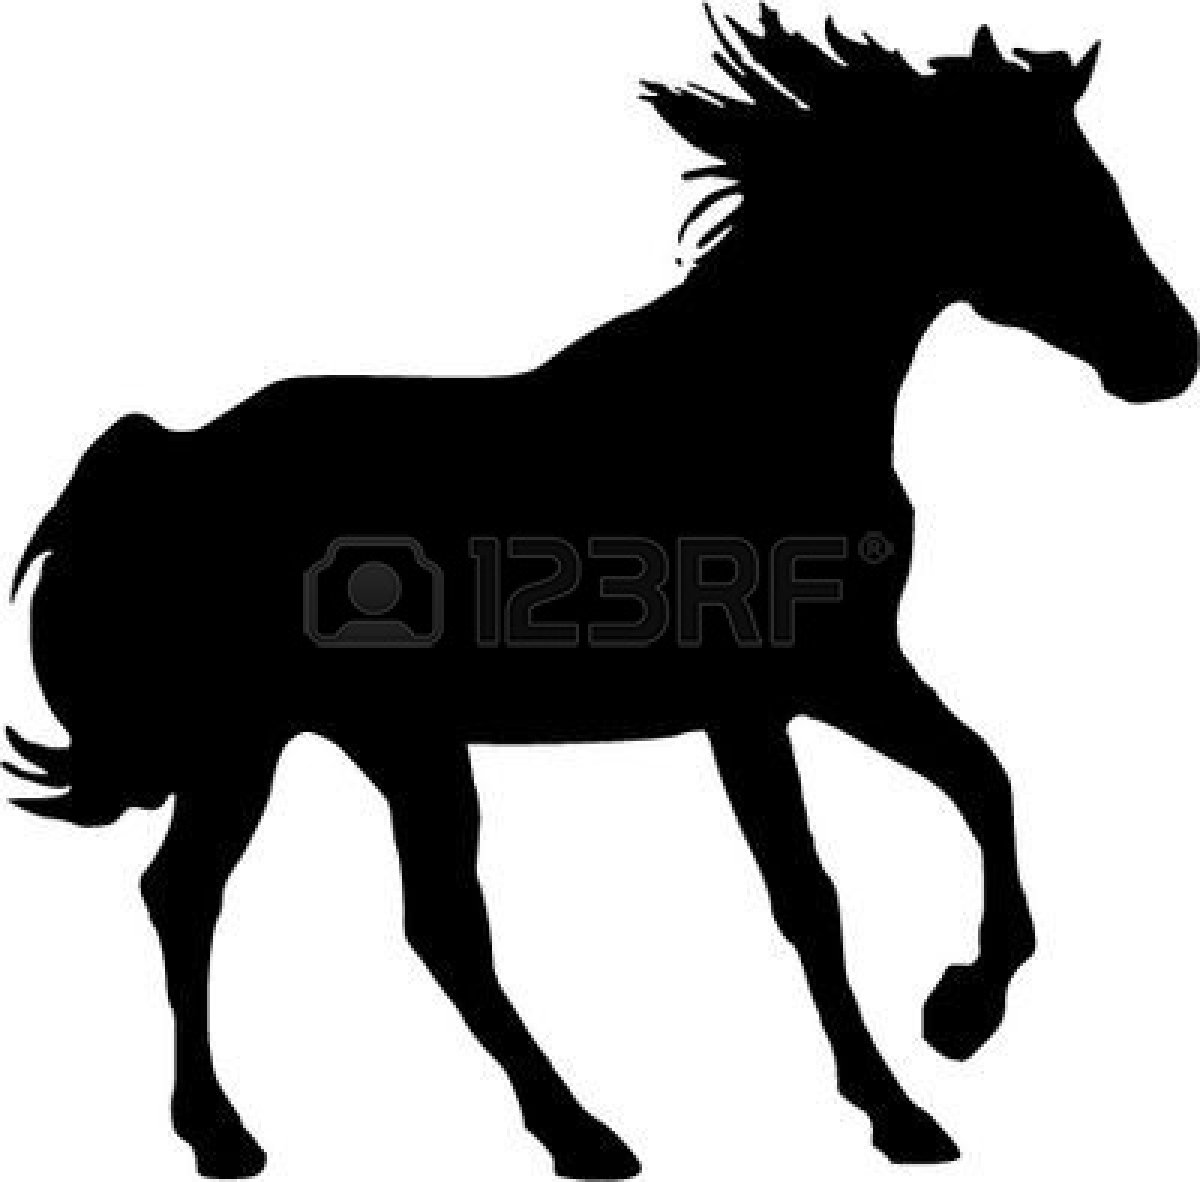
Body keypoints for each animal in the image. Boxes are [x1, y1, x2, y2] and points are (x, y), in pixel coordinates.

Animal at [5, 6, 1195, 1177]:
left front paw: (956, 1015)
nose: (1168, 355)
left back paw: (277, 1130)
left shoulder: (847, 673)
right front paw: (902, 1102)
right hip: (324, 738)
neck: (755, 398)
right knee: (367, 916)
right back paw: (535, 1131)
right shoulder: (752, 706)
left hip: (319, 741)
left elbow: (985, 781)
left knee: (241, 899)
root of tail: (171, 457)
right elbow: (810, 896)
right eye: (1041, 192)